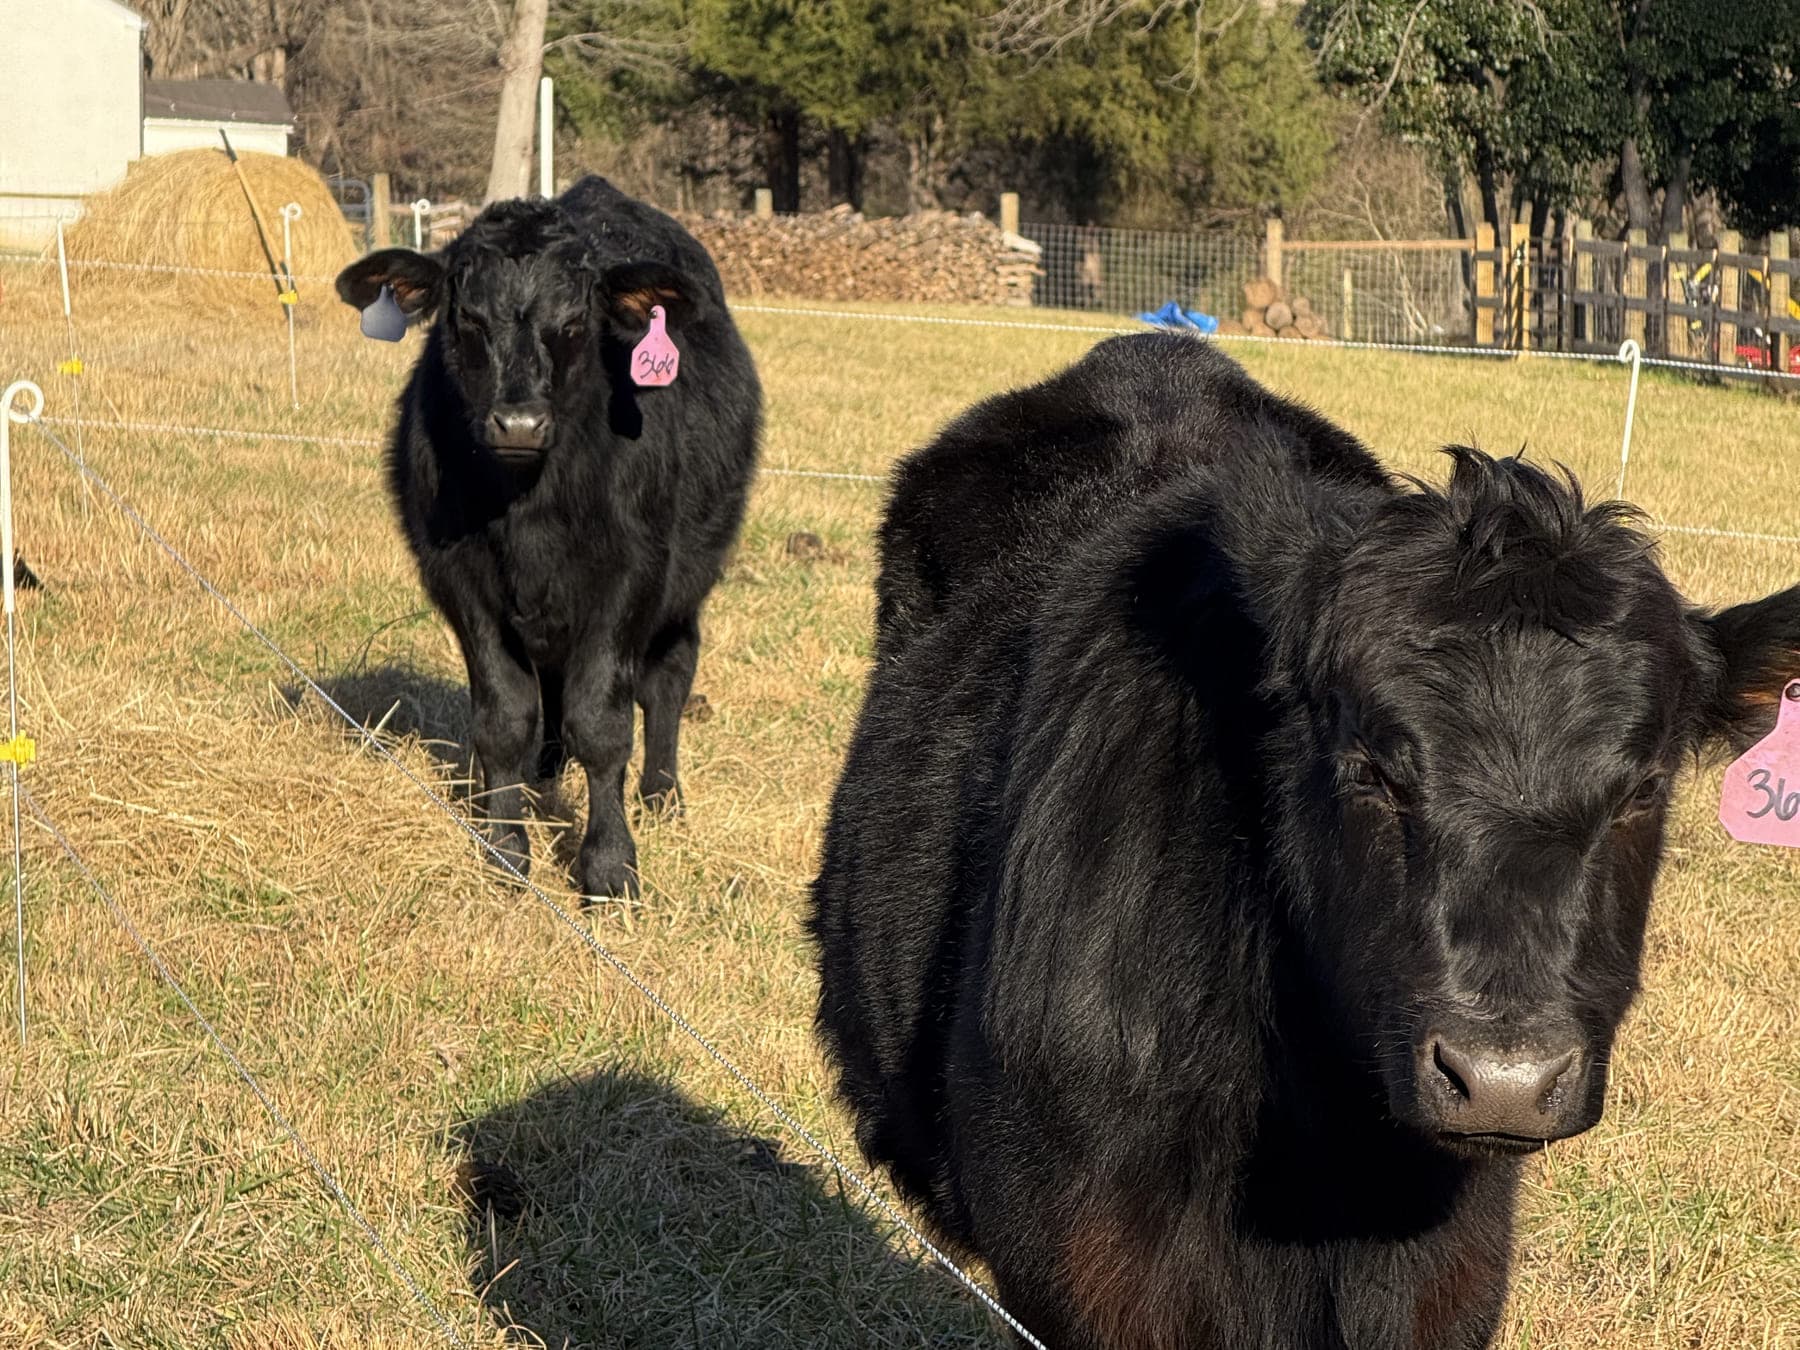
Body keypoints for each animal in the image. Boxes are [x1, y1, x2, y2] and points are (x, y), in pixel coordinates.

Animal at [336, 177, 761, 901]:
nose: (519, 423)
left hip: (684, 588)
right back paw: (543, 777)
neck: (528, 502)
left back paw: (661, 795)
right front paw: (506, 845)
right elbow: (506, 717)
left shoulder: (631, 578)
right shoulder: (460, 578)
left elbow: (603, 723)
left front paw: (609, 864)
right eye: (467, 319)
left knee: (668, 680)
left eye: (574, 323)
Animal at [810, 333, 1800, 1349]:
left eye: (1643, 789)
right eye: (1370, 770)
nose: (1504, 1078)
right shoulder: (1084, 1268)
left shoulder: (1448, 1273)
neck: (1318, 1162)